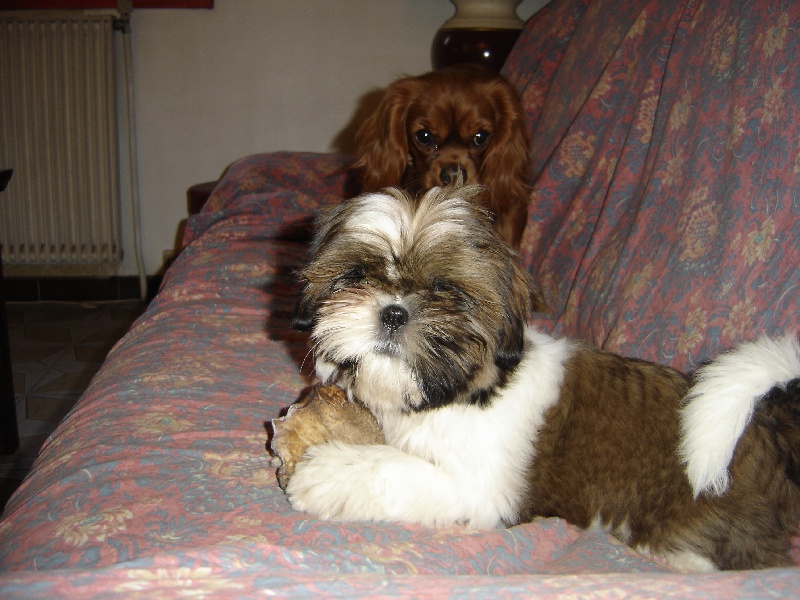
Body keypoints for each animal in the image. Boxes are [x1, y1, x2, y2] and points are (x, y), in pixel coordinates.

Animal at [288, 185, 800, 572]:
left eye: (446, 291)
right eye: (356, 275)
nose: (394, 313)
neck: (463, 390)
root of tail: (767, 427)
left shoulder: (480, 490)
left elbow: (391, 471)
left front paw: (328, 474)